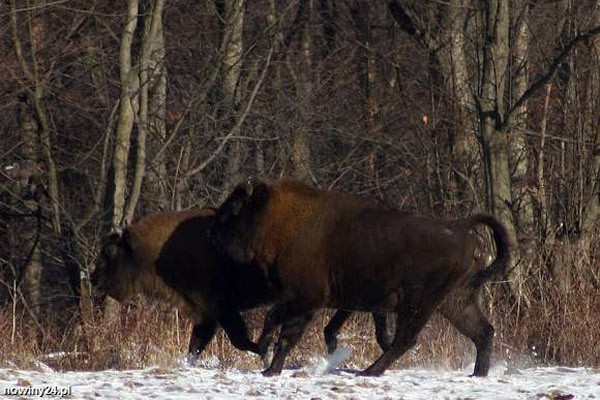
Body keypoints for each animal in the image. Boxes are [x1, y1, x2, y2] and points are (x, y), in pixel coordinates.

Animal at [211, 180, 510, 376]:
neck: (275, 219)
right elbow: (284, 328)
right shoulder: (304, 303)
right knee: (483, 332)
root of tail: (460, 229)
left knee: (406, 340)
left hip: (419, 304)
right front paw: (269, 363)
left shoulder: (304, 299)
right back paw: (477, 374)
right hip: (455, 302)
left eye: (235, 206)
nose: (212, 231)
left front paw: (266, 361)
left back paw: (369, 372)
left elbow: (278, 324)